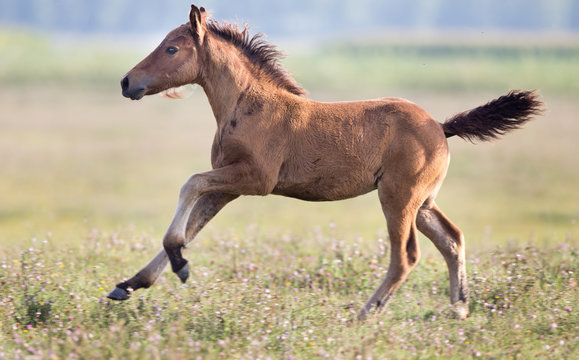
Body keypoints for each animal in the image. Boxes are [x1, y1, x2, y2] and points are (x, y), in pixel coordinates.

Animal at [107, 4, 544, 320]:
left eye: (171, 49)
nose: (127, 82)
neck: (249, 105)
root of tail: (441, 125)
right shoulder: (228, 187)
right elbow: (193, 224)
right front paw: (132, 282)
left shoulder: (255, 179)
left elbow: (191, 184)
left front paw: (178, 263)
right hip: (423, 202)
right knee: (452, 239)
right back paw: (459, 310)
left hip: (398, 197)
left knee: (406, 256)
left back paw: (365, 314)